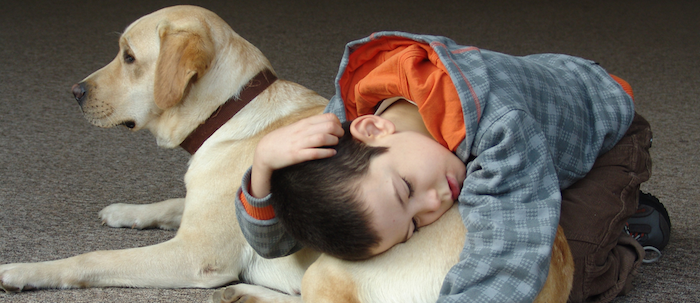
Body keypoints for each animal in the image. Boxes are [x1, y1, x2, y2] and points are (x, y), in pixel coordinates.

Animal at [0, 5, 572, 303]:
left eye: (128, 57)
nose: (74, 91)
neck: (231, 111)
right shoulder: (207, 203)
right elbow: (168, 204)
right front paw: (125, 211)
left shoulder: (195, 256)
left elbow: (92, 259)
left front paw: (25, 270)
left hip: (328, 272)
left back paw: (248, 292)